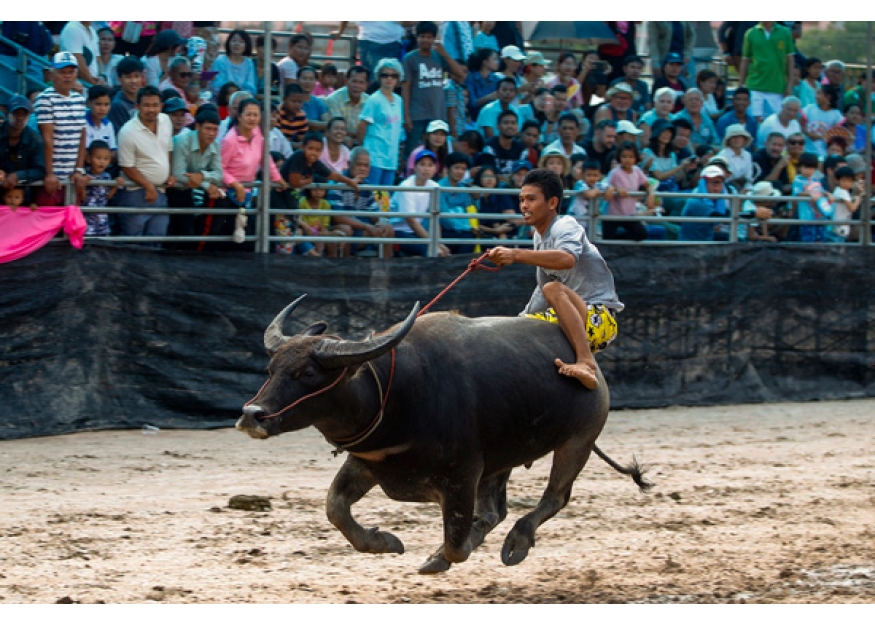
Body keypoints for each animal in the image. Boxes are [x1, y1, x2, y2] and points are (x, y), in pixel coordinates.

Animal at [238, 294, 652, 572]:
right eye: (271, 369)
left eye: (308, 373)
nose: (251, 415)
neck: (393, 394)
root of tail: (592, 365)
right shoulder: (370, 461)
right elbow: (335, 507)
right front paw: (385, 541)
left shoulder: (462, 475)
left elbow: (455, 543)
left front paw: (440, 556)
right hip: (502, 457)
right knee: (496, 509)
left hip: (577, 441)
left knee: (554, 498)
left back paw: (516, 543)